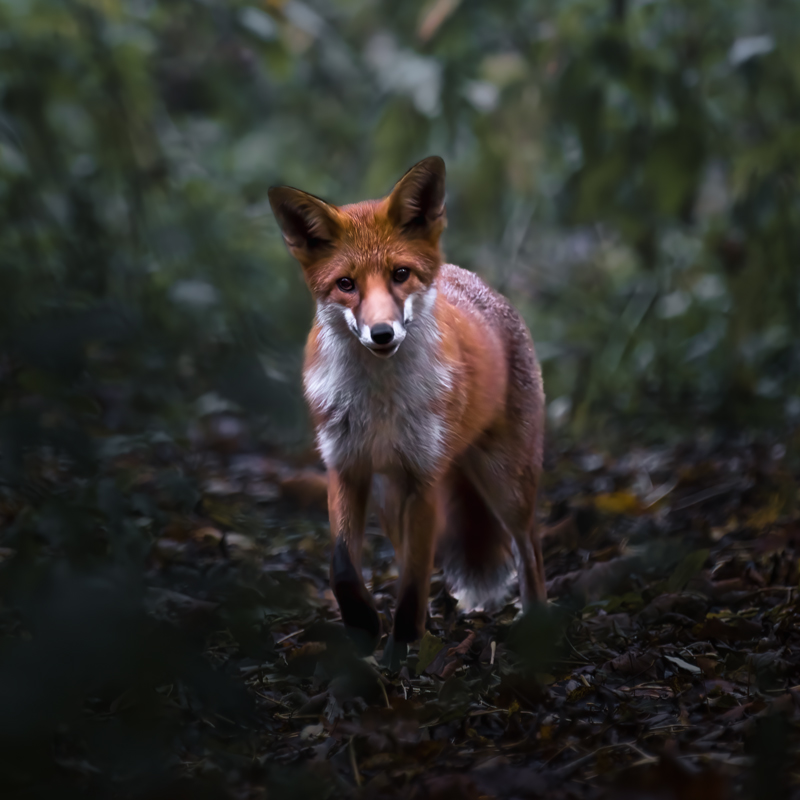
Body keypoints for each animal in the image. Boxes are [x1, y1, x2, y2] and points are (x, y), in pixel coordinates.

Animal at [268, 157, 546, 655]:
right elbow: (344, 567)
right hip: (389, 493)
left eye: (400, 274)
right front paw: (364, 624)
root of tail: (467, 276)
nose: (382, 334)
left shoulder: (424, 477)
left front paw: (403, 650)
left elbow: (415, 581)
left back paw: (535, 622)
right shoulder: (346, 468)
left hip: (506, 482)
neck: (379, 404)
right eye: (346, 284)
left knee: (529, 547)